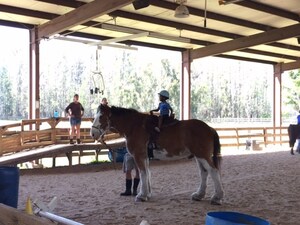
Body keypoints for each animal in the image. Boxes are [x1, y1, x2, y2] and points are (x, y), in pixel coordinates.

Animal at [90, 105, 224, 204]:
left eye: (101, 116)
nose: (92, 133)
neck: (134, 126)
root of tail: (209, 128)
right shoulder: (145, 157)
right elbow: (147, 173)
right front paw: (147, 194)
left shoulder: (139, 155)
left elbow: (143, 173)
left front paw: (142, 196)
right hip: (198, 156)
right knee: (204, 172)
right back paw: (199, 195)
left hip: (203, 155)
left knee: (213, 171)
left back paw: (217, 197)